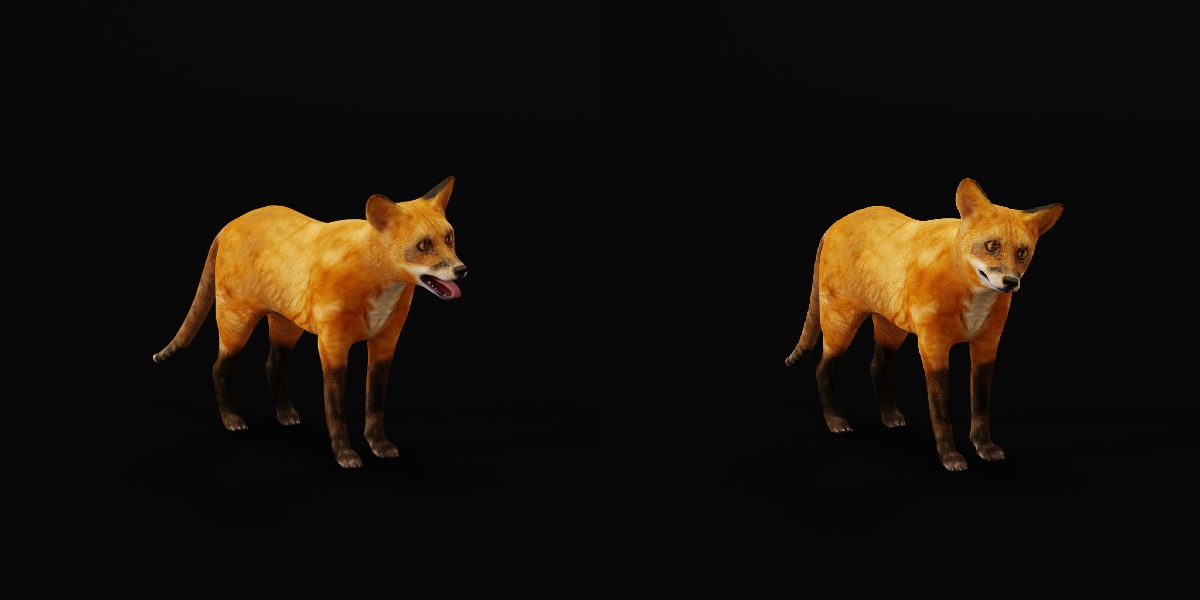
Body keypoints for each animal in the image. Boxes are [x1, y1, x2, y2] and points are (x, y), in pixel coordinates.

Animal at [153, 176, 468, 469]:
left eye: (449, 238)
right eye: (423, 245)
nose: (461, 270)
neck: (377, 283)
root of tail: (230, 223)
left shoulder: (385, 343)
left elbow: (375, 402)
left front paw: (378, 445)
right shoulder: (332, 345)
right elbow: (336, 410)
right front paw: (345, 455)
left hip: (287, 328)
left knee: (271, 365)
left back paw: (285, 415)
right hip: (236, 324)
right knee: (219, 368)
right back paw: (232, 419)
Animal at [784, 178, 1063, 471]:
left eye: (1022, 253)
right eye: (991, 246)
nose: (1010, 282)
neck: (972, 297)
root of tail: (836, 223)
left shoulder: (987, 345)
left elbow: (981, 405)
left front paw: (984, 446)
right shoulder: (933, 346)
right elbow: (941, 412)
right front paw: (950, 456)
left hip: (891, 330)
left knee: (876, 367)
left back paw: (889, 416)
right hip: (841, 325)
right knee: (822, 371)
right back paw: (836, 421)